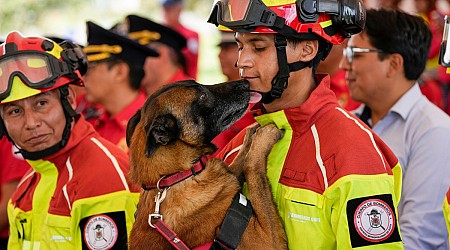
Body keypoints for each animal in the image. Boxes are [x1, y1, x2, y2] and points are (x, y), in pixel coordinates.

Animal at [125, 79, 288, 248]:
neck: (176, 176)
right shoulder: (266, 240)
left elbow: (239, 160)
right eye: (202, 96)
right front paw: (263, 137)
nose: (245, 83)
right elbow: (252, 166)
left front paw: (250, 135)